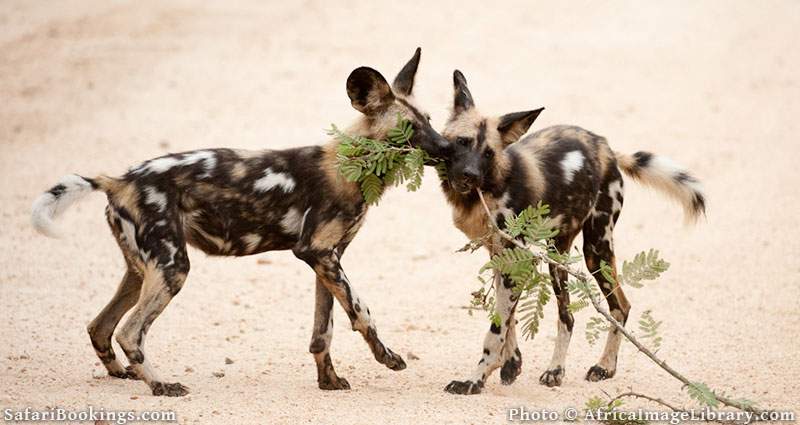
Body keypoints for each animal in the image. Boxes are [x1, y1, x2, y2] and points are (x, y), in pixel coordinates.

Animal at [31, 49, 450, 398]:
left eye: (429, 121)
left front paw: (328, 381)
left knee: (100, 326)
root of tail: (120, 180)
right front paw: (387, 358)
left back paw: (127, 374)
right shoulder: (316, 253)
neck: (351, 167)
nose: (448, 147)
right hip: (172, 267)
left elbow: (324, 330)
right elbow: (362, 314)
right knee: (130, 332)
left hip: (141, 270)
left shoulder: (327, 257)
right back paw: (162, 386)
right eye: (410, 130)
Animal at [438, 70, 708, 394]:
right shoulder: (502, 259)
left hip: (594, 250)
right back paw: (564, 368)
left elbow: (496, 331)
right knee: (569, 316)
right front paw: (511, 364)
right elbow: (507, 320)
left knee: (613, 308)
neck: (491, 187)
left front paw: (475, 379)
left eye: (489, 153)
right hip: (560, 255)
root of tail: (606, 148)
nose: (471, 175)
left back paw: (594, 368)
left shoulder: (518, 261)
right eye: (462, 142)